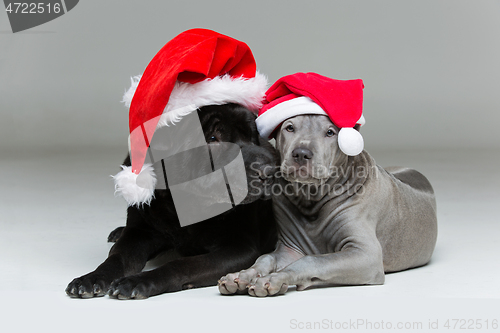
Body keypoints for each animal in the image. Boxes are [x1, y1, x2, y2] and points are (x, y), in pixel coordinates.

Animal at [63, 104, 278, 298]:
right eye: (212, 139)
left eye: (253, 137)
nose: (267, 170)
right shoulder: (138, 233)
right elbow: (117, 257)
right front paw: (92, 278)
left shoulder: (239, 247)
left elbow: (181, 265)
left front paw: (138, 281)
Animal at [217, 113, 436, 296]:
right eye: (290, 128)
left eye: (330, 132)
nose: (301, 153)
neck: (312, 198)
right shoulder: (289, 248)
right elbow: (266, 258)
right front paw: (242, 275)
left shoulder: (366, 254)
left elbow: (312, 259)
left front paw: (275, 279)